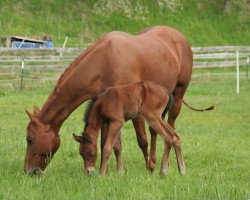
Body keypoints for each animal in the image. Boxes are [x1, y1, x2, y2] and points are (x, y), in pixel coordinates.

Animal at [24, 26, 214, 175]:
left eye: (30, 139)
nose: (29, 171)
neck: (104, 61)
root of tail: (179, 37)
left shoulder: (132, 110)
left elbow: (141, 140)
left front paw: (148, 168)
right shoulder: (105, 109)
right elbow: (107, 143)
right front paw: (107, 170)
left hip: (177, 98)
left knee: (169, 130)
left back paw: (163, 165)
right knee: (156, 131)